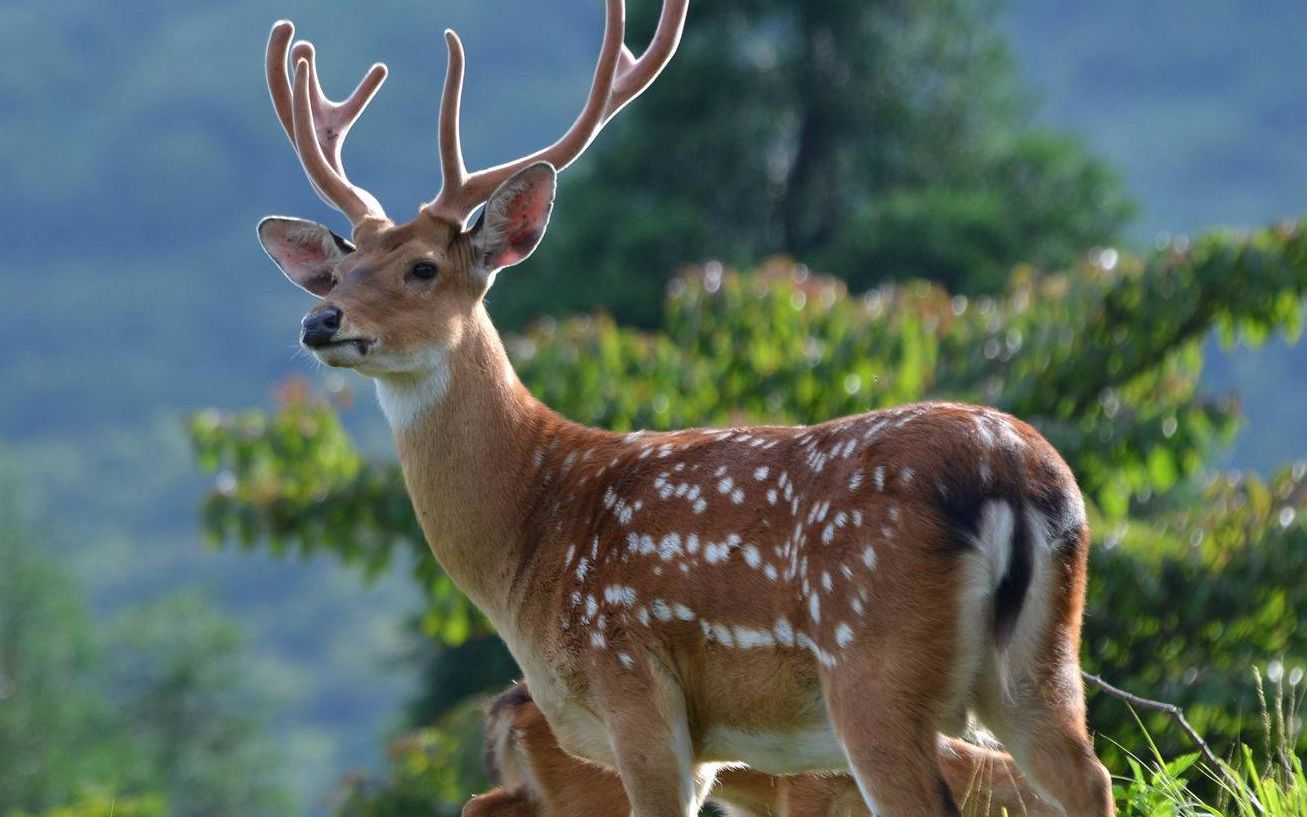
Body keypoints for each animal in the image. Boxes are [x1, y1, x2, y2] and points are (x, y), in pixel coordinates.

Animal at [257, 1, 1113, 815]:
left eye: (423, 267)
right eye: (338, 273)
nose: (320, 321)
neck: (531, 534)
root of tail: (1012, 475)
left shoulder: (631, 680)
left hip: (871, 658)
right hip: (1041, 662)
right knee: (1088, 777)